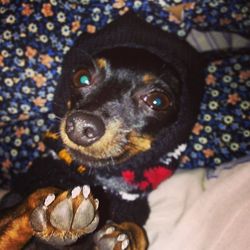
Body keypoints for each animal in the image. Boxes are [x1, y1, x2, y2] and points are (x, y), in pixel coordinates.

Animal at [0, 13, 204, 250]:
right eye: (82, 77)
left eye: (158, 101)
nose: (81, 126)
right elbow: (34, 197)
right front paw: (55, 214)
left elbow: (138, 231)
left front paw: (121, 237)